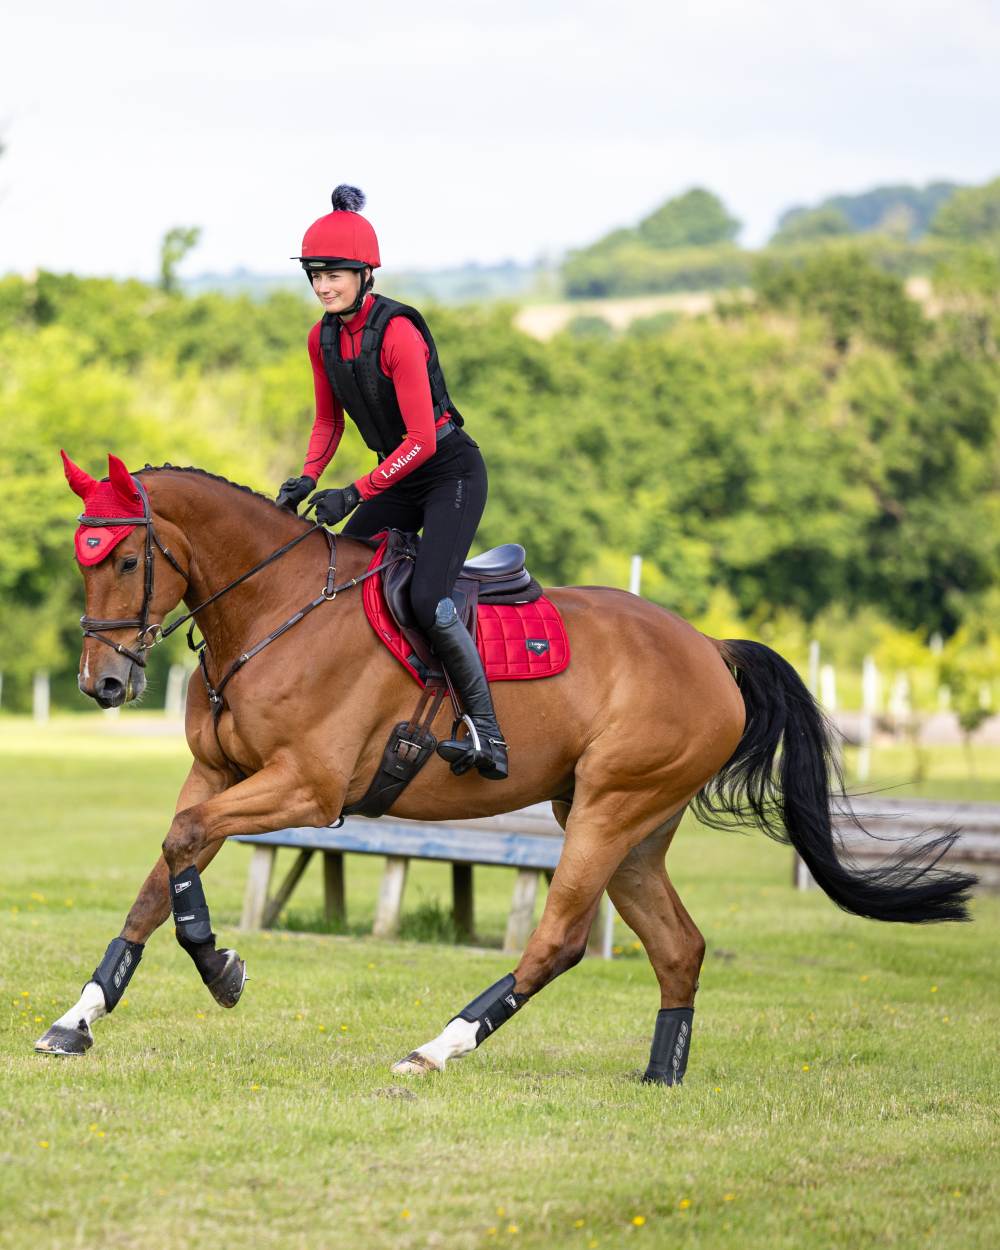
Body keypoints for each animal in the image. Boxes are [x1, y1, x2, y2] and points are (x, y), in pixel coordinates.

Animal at [35, 460, 975, 1085]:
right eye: (83, 559)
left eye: (126, 560)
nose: (102, 684)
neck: (273, 611)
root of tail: (709, 647)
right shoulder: (215, 774)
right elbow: (162, 873)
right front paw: (78, 1018)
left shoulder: (306, 786)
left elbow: (183, 852)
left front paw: (218, 965)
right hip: (632, 828)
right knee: (679, 946)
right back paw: (660, 1076)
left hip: (608, 807)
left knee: (559, 939)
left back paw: (438, 1046)